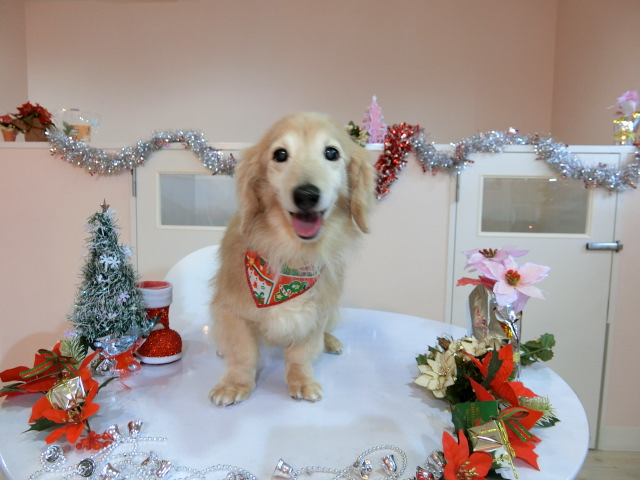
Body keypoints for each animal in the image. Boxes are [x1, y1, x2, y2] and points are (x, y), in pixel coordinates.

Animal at [209, 112, 375, 405]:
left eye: (332, 152)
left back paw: (330, 341)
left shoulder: (316, 313)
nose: (307, 195)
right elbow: (243, 352)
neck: (291, 254)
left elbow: (302, 353)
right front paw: (235, 383)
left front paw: (302, 379)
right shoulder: (232, 309)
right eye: (280, 154)